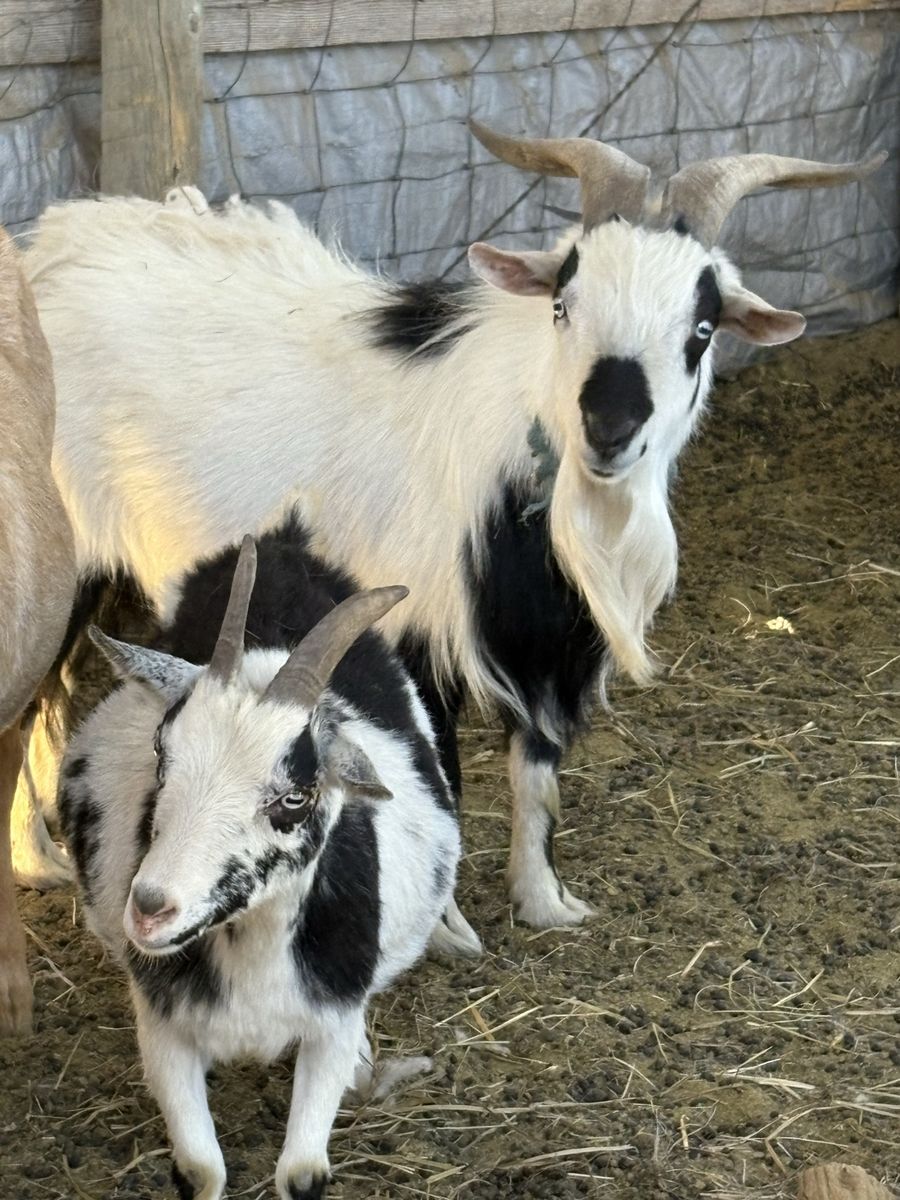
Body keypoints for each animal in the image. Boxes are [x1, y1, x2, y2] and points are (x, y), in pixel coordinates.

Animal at [28, 122, 883, 929]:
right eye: (563, 305)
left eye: (701, 331)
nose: (609, 430)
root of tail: (46, 250)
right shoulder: (412, 632)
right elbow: (433, 775)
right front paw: (439, 923)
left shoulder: (545, 641)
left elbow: (536, 773)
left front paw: (544, 902)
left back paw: (43, 860)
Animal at [59, 532, 461, 1199]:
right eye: (161, 754)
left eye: (295, 797)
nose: (148, 909)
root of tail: (282, 548)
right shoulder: (162, 1028)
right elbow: (201, 1170)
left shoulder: (330, 1023)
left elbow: (301, 1173)